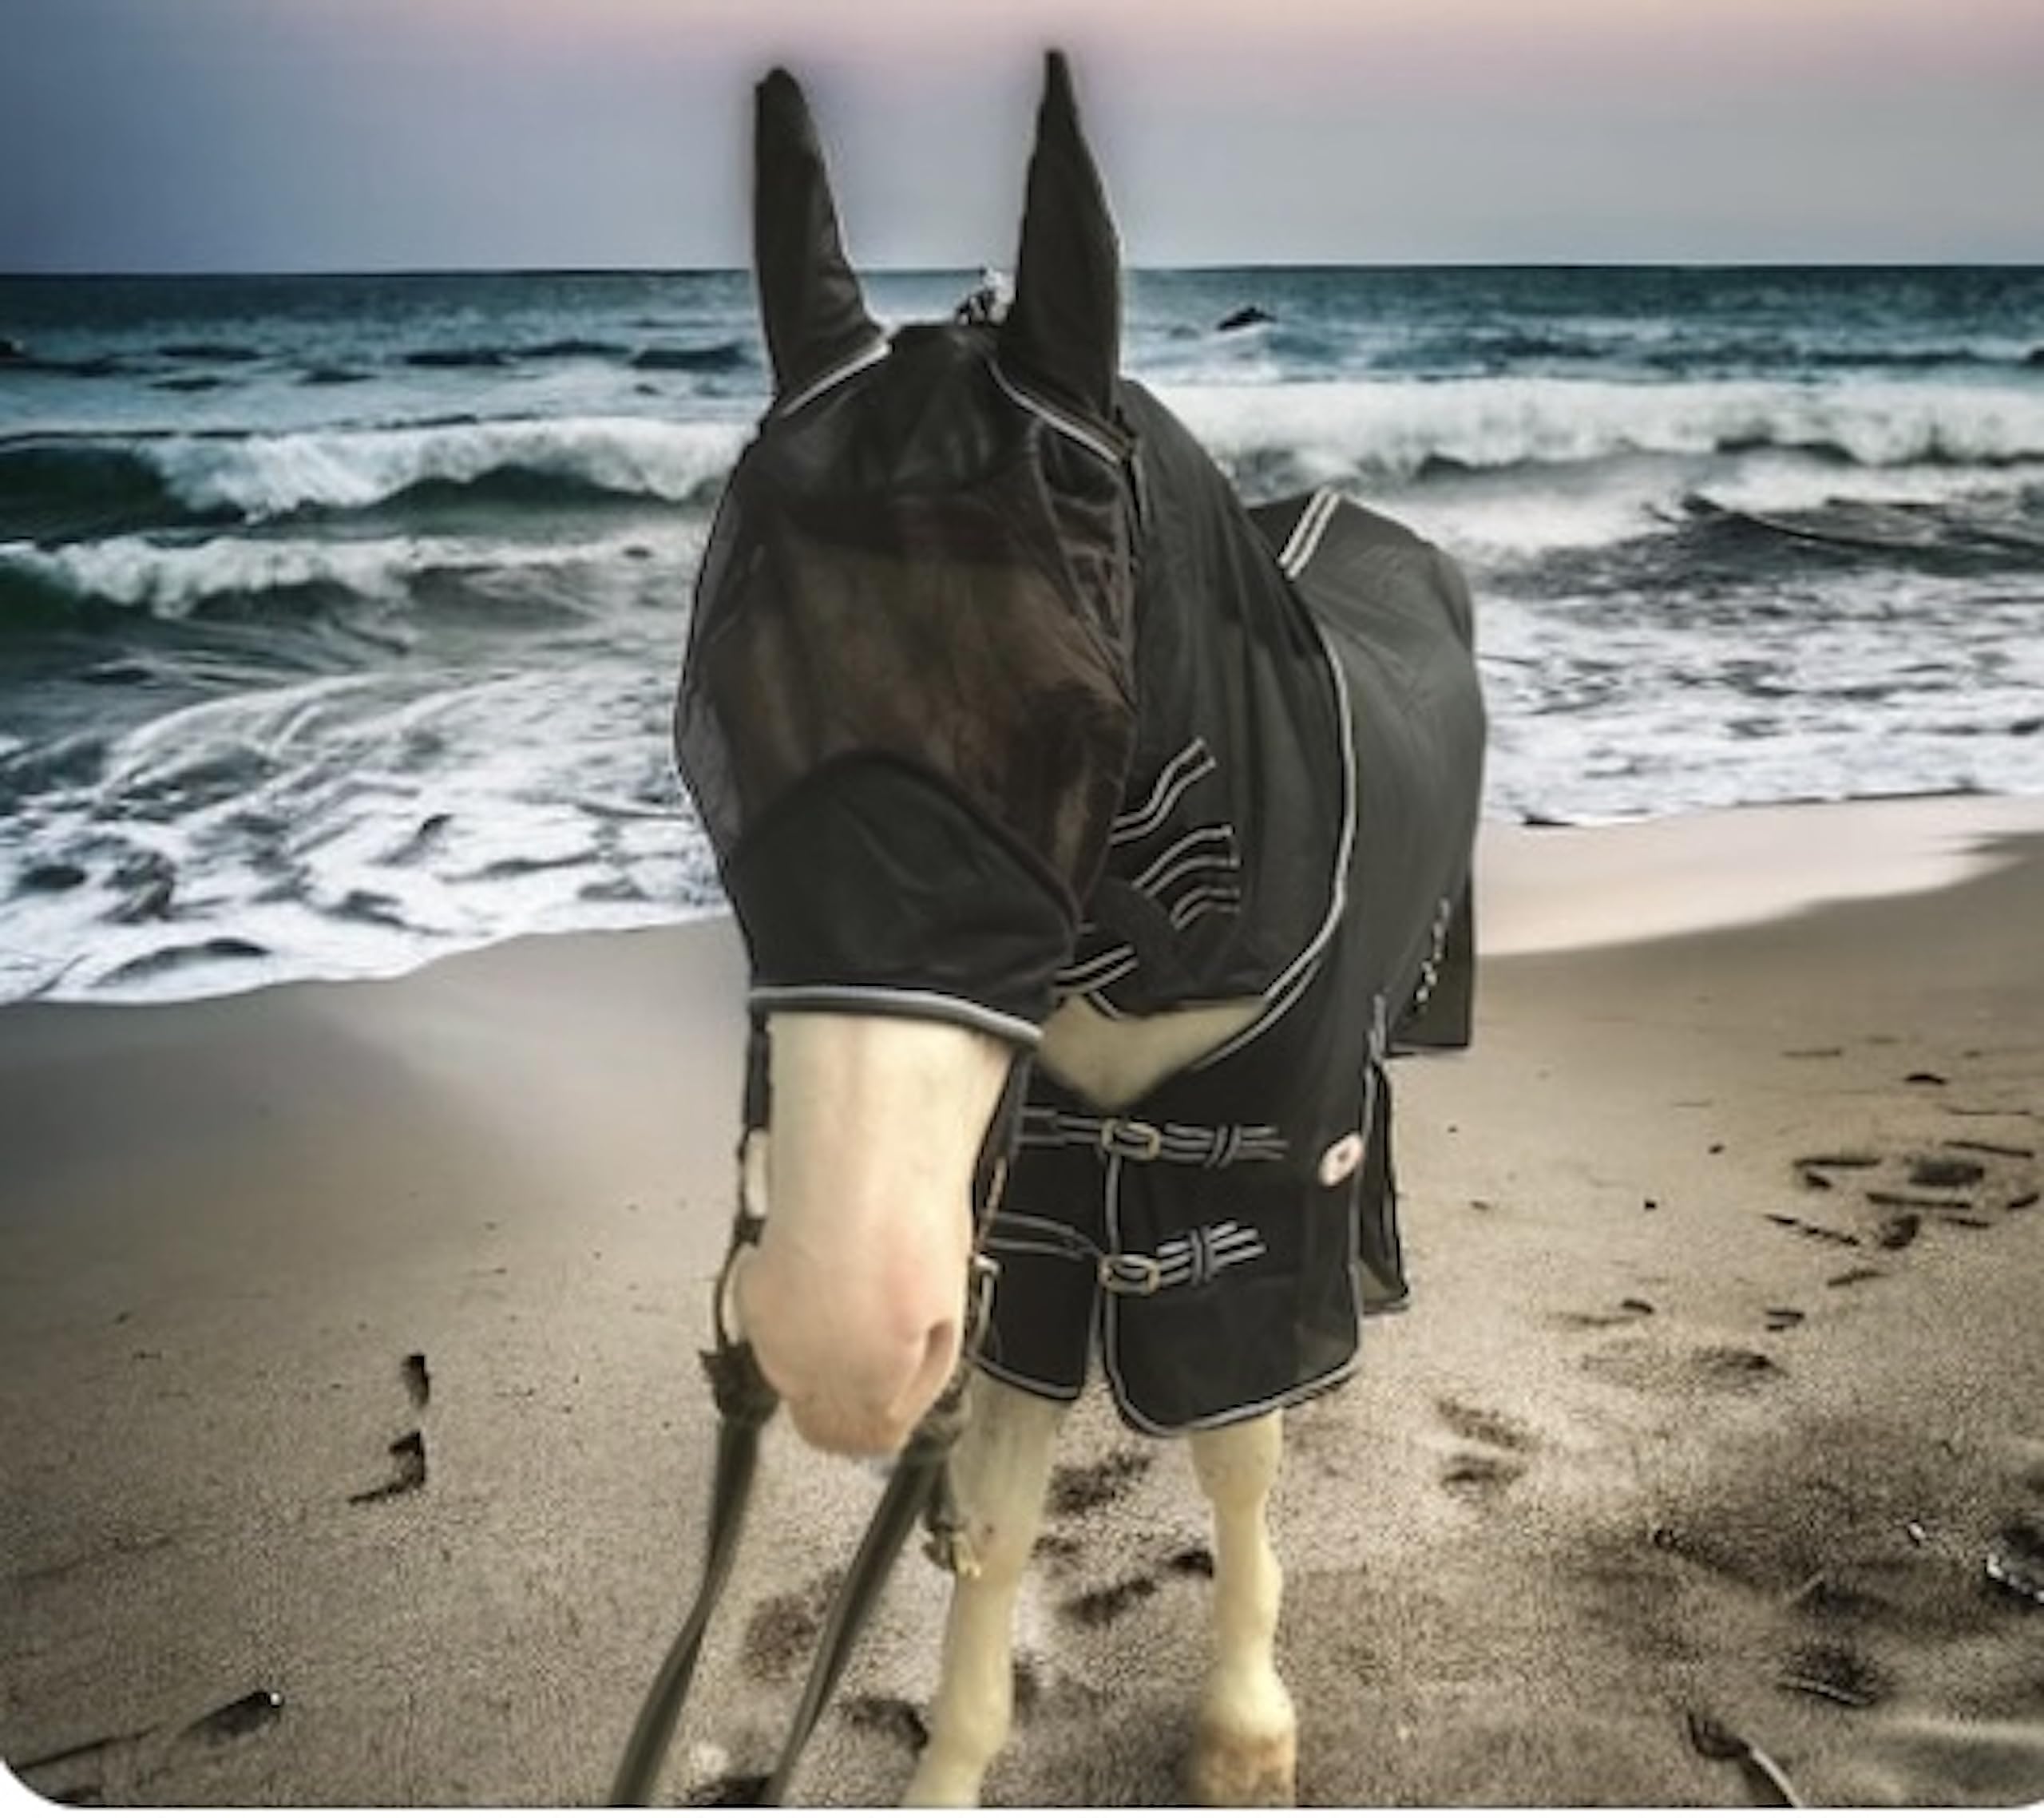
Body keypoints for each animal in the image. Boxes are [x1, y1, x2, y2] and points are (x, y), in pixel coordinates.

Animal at [669, 53, 1486, 1806]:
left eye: (1072, 721)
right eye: (717, 724)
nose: (830, 1326)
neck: (1137, 945)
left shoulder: (1247, 1182)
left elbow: (1239, 1445)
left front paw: (1241, 1723)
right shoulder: (1028, 1214)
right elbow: (989, 1505)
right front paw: (954, 1753)